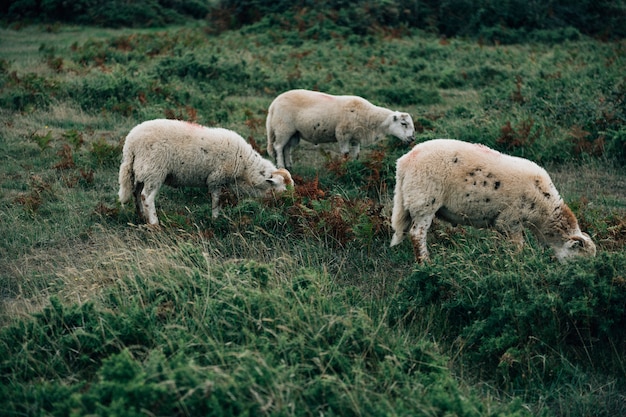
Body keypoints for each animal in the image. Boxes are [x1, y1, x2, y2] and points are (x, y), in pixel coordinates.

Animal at [118, 118, 292, 226]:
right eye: (282, 190)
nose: (288, 207)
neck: (245, 167)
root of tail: (130, 143)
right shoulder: (216, 178)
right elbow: (216, 200)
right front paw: (215, 219)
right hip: (154, 170)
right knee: (146, 197)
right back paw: (154, 223)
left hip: (140, 171)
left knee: (136, 193)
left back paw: (141, 215)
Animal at [264, 89, 414, 169]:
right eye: (403, 123)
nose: (412, 138)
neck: (368, 116)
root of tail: (273, 104)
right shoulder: (342, 134)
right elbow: (345, 153)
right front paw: (344, 167)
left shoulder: (355, 137)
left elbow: (356, 154)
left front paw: (354, 166)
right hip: (283, 128)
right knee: (278, 147)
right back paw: (281, 166)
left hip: (293, 133)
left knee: (287, 148)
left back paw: (289, 166)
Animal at [390, 140, 596, 264]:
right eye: (580, 261)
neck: (543, 211)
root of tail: (404, 162)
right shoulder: (511, 219)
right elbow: (518, 245)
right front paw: (518, 261)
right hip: (424, 200)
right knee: (417, 234)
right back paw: (425, 262)